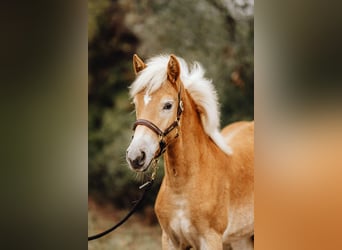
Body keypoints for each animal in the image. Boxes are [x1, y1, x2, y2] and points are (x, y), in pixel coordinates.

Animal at [126, 53, 254, 249]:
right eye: (136, 103)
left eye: (168, 105)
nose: (136, 157)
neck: (183, 188)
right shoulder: (170, 240)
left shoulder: (211, 240)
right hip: (241, 238)